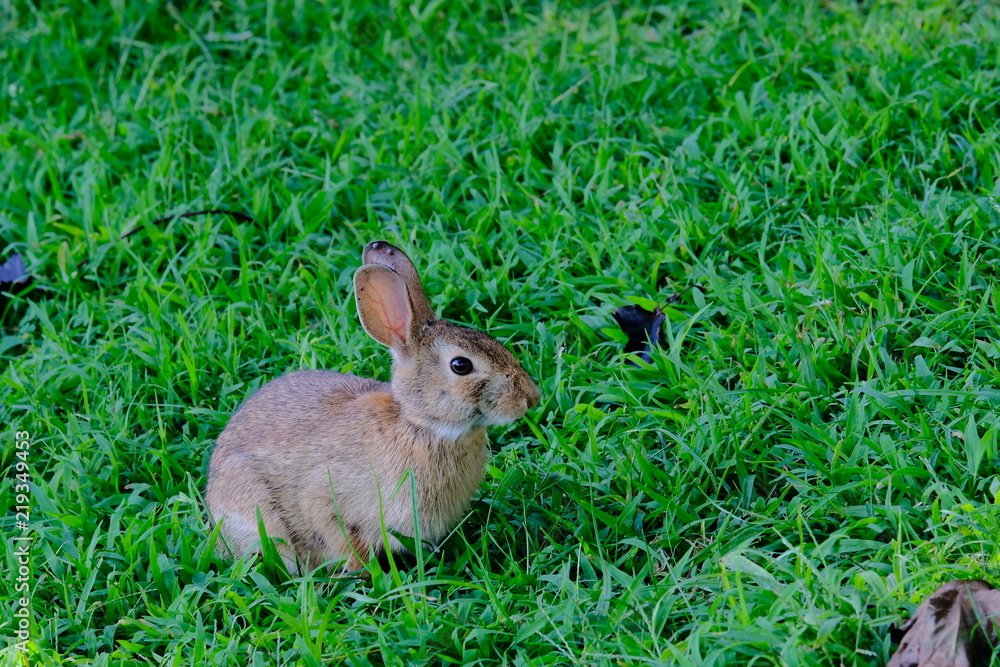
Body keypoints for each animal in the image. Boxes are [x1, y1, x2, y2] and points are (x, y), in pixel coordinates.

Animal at [205, 240, 540, 573]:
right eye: (461, 365)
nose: (530, 398)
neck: (421, 424)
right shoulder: (328, 498)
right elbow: (341, 540)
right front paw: (365, 575)